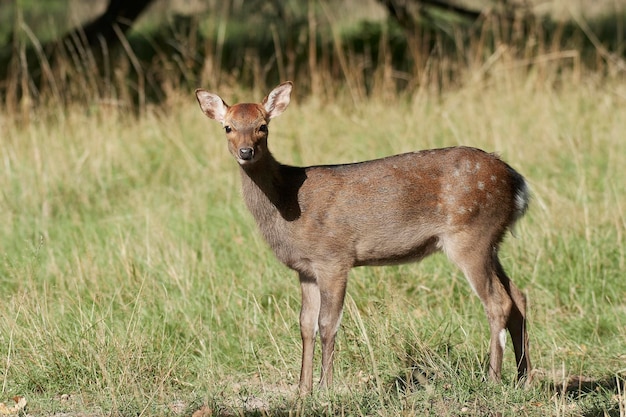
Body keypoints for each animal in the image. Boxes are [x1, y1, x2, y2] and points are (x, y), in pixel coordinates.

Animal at [195, 80, 532, 394]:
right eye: (228, 127)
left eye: (262, 126)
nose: (246, 151)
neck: (288, 204)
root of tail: (517, 182)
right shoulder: (306, 269)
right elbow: (305, 325)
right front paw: (302, 390)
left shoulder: (333, 257)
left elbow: (327, 323)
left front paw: (325, 388)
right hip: (492, 242)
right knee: (518, 295)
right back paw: (523, 378)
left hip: (470, 235)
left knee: (498, 302)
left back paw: (493, 378)